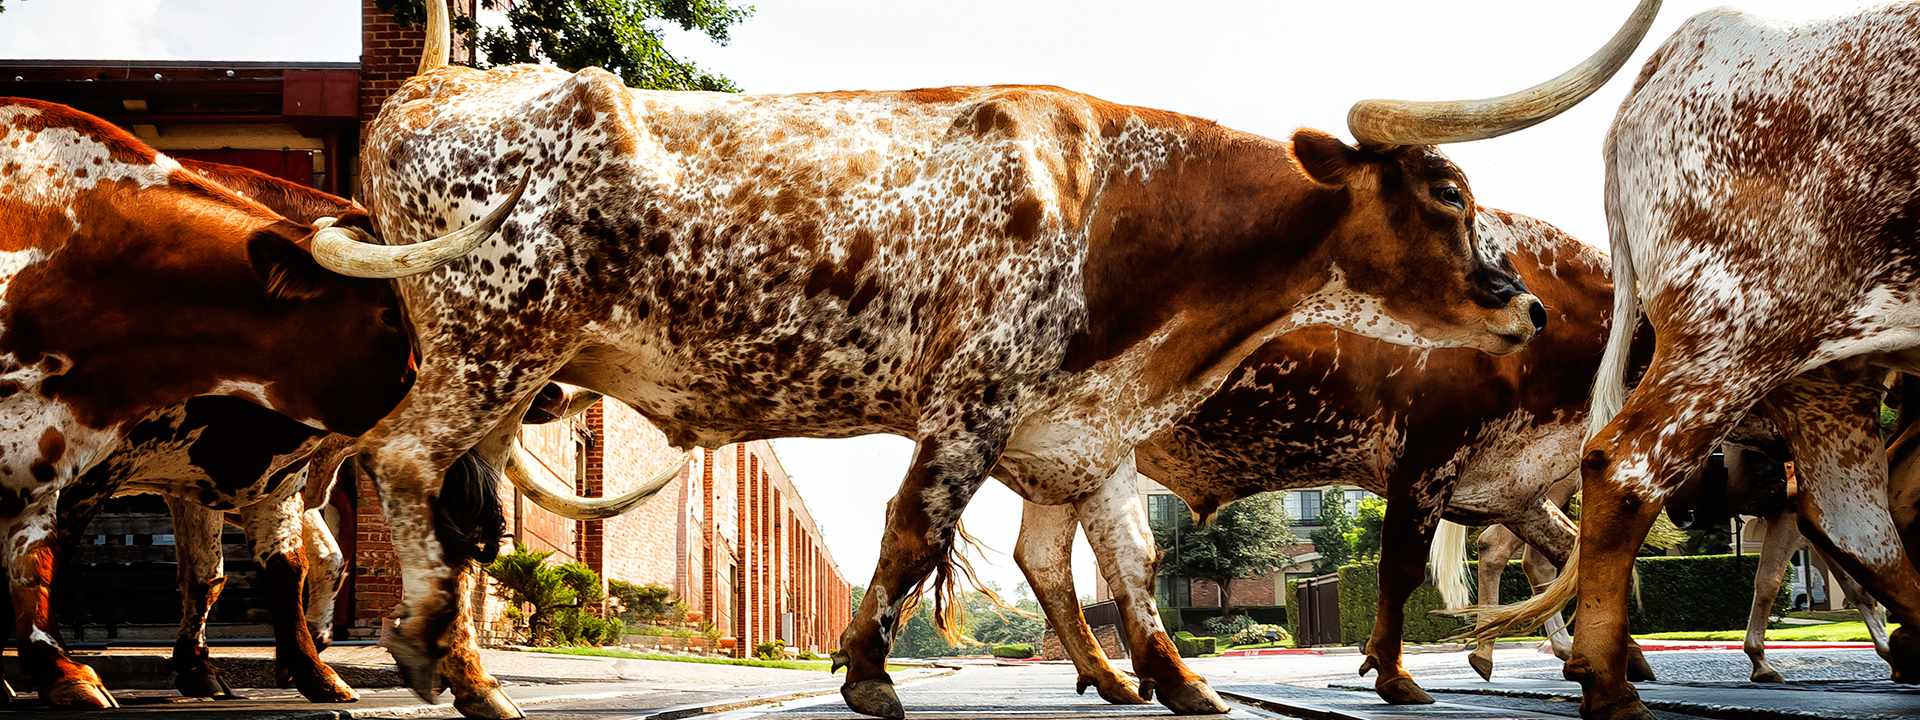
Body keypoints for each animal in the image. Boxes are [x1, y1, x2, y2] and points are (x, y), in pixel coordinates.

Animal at [0, 97, 510, 710]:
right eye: (393, 315)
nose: (488, 532)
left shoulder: (239, 474)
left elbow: (258, 569)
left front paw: (299, 668)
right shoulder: (85, 468)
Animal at [330, 2, 1651, 718]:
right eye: (1447, 194)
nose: (1525, 309)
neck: (1109, 195)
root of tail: (431, 88)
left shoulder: (1084, 423)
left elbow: (1125, 563)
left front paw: (1177, 679)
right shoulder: (975, 397)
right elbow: (915, 530)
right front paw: (866, 669)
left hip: (510, 372)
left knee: (457, 502)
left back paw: (465, 668)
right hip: (493, 341)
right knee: (402, 462)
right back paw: (427, 653)